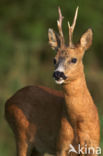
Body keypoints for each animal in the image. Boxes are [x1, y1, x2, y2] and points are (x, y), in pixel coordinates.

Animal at [4, 7, 79, 156]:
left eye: (73, 59)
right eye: (54, 59)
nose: (58, 74)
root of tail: (7, 102)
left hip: (37, 148)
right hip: (22, 136)